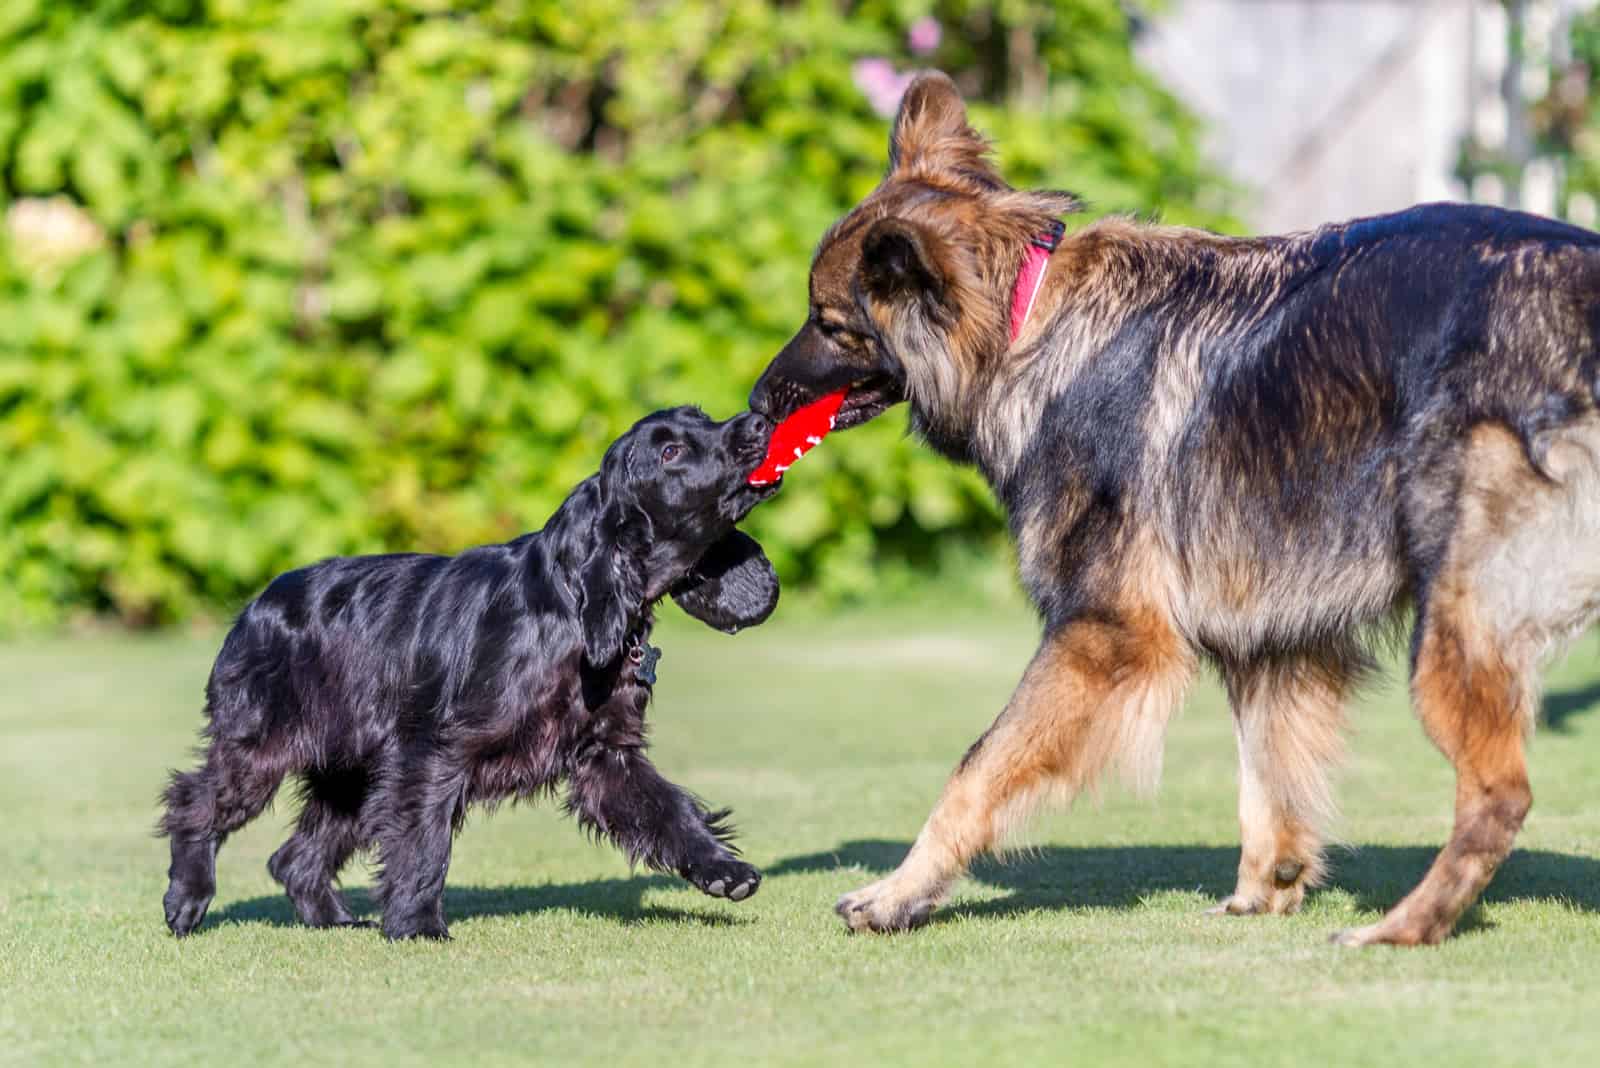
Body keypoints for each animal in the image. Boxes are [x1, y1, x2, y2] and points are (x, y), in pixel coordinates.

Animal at [160, 404, 780, 940]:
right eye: (671, 451)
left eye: (702, 417)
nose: (758, 422)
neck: (567, 609)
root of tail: (253, 607)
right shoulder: (432, 752)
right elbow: (424, 842)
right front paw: (416, 924)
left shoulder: (606, 754)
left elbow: (667, 810)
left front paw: (722, 870)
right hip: (261, 747)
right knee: (195, 802)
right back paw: (186, 901)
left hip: (350, 776)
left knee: (293, 857)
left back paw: (332, 919)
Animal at [755, 70, 1600, 946]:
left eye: (830, 324)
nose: (755, 400)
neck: (1026, 320)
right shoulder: (1273, 645)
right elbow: (1267, 782)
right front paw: (1264, 891)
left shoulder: (1103, 633)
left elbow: (979, 764)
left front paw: (899, 891)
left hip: (1453, 628)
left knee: (1500, 796)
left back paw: (1401, 927)